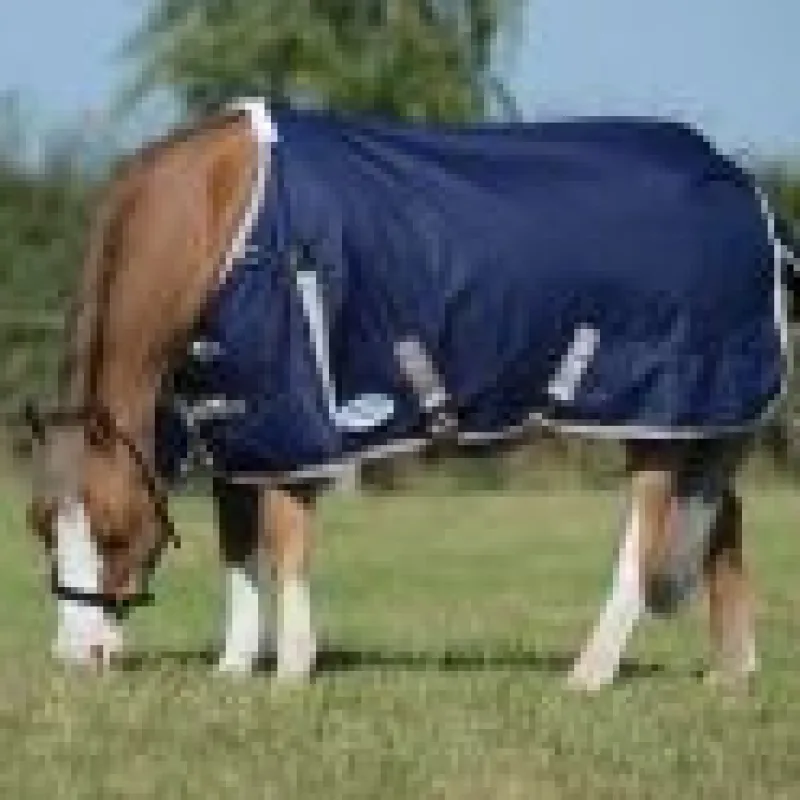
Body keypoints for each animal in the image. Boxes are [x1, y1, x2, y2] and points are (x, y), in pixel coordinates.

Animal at [25, 99, 796, 690]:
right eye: (40, 528)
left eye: (114, 531)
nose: (77, 656)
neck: (221, 218)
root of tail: (740, 180)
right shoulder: (238, 423)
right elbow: (237, 544)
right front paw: (235, 668)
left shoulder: (295, 415)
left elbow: (285, 537)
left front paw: (293, 670)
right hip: (700, 416)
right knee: (720, 517)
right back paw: (731, 674)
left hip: (659, 407)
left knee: (645, 534)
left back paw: (592, 672)